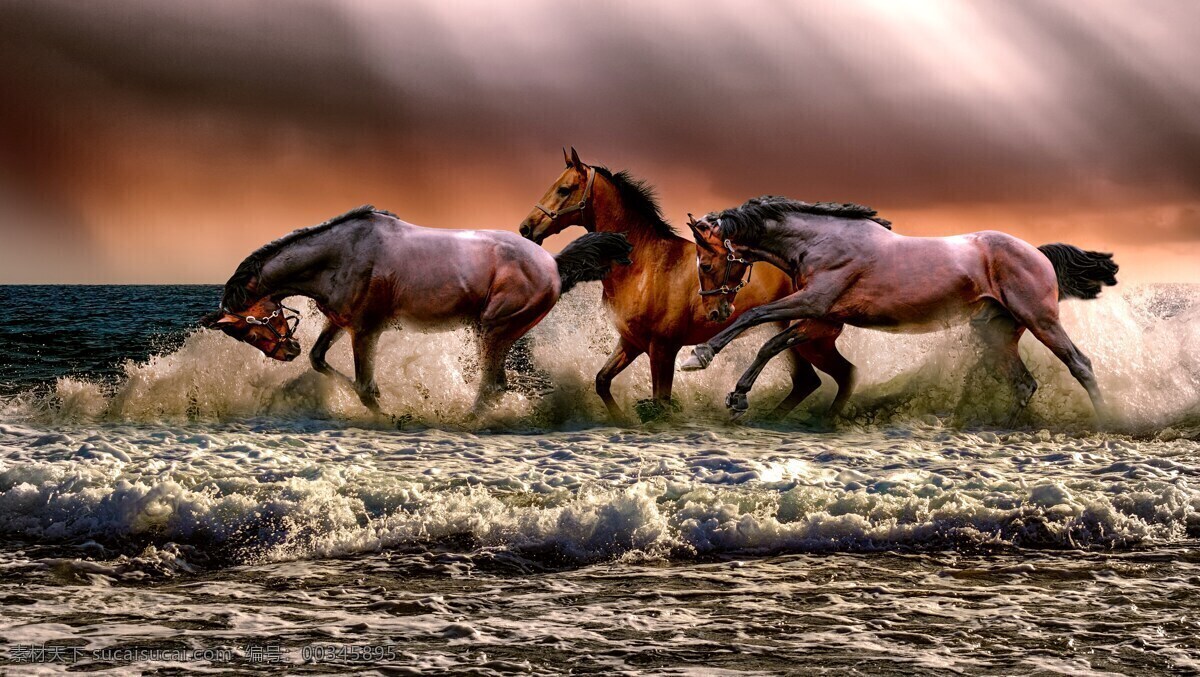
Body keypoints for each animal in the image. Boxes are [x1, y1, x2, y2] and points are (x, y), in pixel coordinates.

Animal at [200, 206, 633, 415]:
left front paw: (390, 414)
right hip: (496, 333)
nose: (285, 352)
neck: (340, 255)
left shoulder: (366, 330)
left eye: (251, 325)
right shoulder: (339, 322)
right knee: (496, 386)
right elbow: (320, 360)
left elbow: (365, 387)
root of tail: (554, 264)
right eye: (243, 334)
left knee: (491, 387)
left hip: (493, 329)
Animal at [516, 150, 854, 420]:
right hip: (798, 340)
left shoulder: (663, 349)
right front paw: (622, 420)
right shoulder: (631, 342)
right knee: (812, 380)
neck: (645, 265)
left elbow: (660, 403)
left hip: (810, 339)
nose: (526, 228)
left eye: (564, 189)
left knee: (838, 376)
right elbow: (602, 381)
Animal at [681, 193, 1118, 420]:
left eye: (706, 264)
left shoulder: (815, 302)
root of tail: (1037, 253)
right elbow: (771, 344)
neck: (820, 242)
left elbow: (755, 318)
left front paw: (698, 356)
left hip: (1041, 320)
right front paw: (737, 397)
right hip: (996, 332)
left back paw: (1107, 420)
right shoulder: (821, 319)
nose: (715, 313)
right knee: (1024, 383)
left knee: (1080, 364)